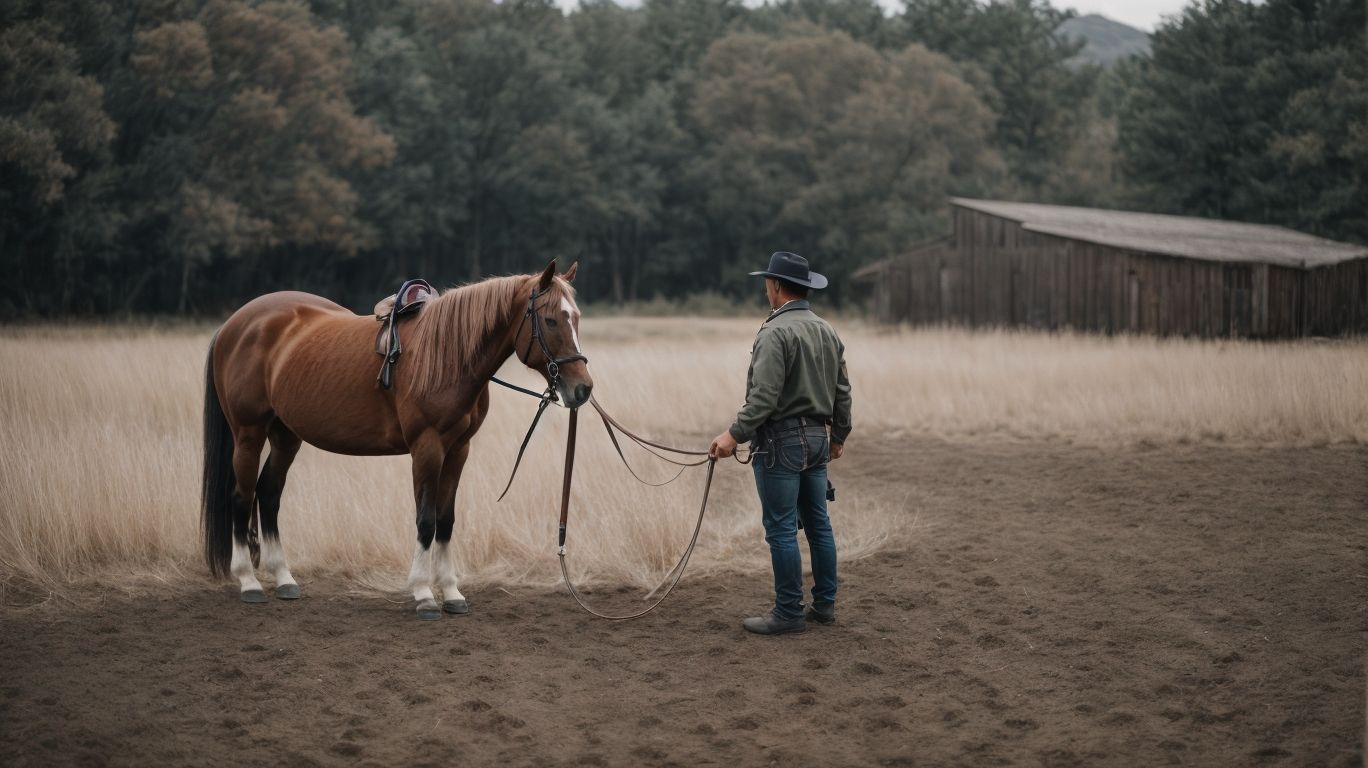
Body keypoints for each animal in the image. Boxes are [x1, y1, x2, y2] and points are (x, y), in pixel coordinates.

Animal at [201, 260, 591, 619]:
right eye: (552, 320)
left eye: (575, 318)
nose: (583, 389)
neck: (449, 356)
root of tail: (234, 324)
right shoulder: (427, 449)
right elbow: (426, 520)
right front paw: (423, 593)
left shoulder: (458, 450)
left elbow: (445, 521)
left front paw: (451, 592)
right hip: (249, 433)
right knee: (241, 497)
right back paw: (249, 582)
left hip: (285, 436)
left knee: (268, 495)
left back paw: (284, 578)